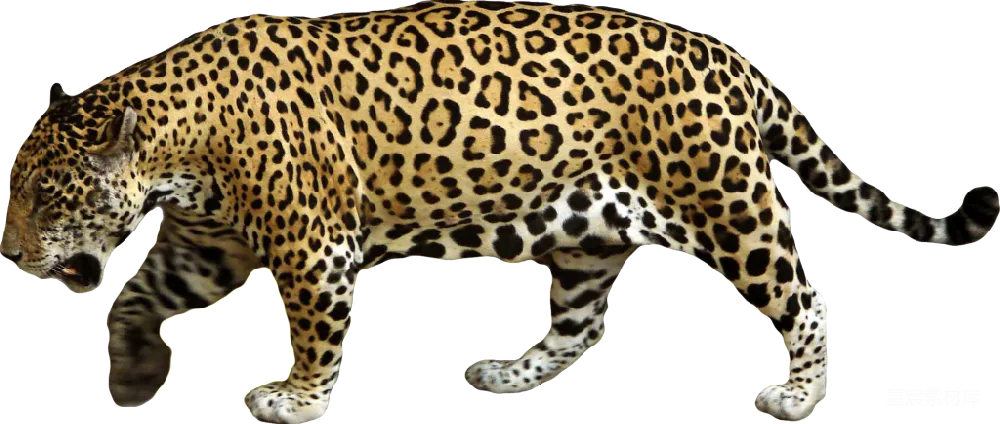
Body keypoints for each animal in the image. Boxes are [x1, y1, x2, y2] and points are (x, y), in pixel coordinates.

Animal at [2, 1, 997, 422]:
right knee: (581, 326)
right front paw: (133, 376)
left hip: (725, 201)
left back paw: (797, 396)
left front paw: (295, 399)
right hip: (587, 231)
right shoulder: (208, 240)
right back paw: (513, 373)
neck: (180, 136)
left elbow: (315, 333)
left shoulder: (311, 245)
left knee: (807, 299)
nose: (10, 258)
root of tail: (737, 60)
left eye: (47, 195)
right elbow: (138, 296)